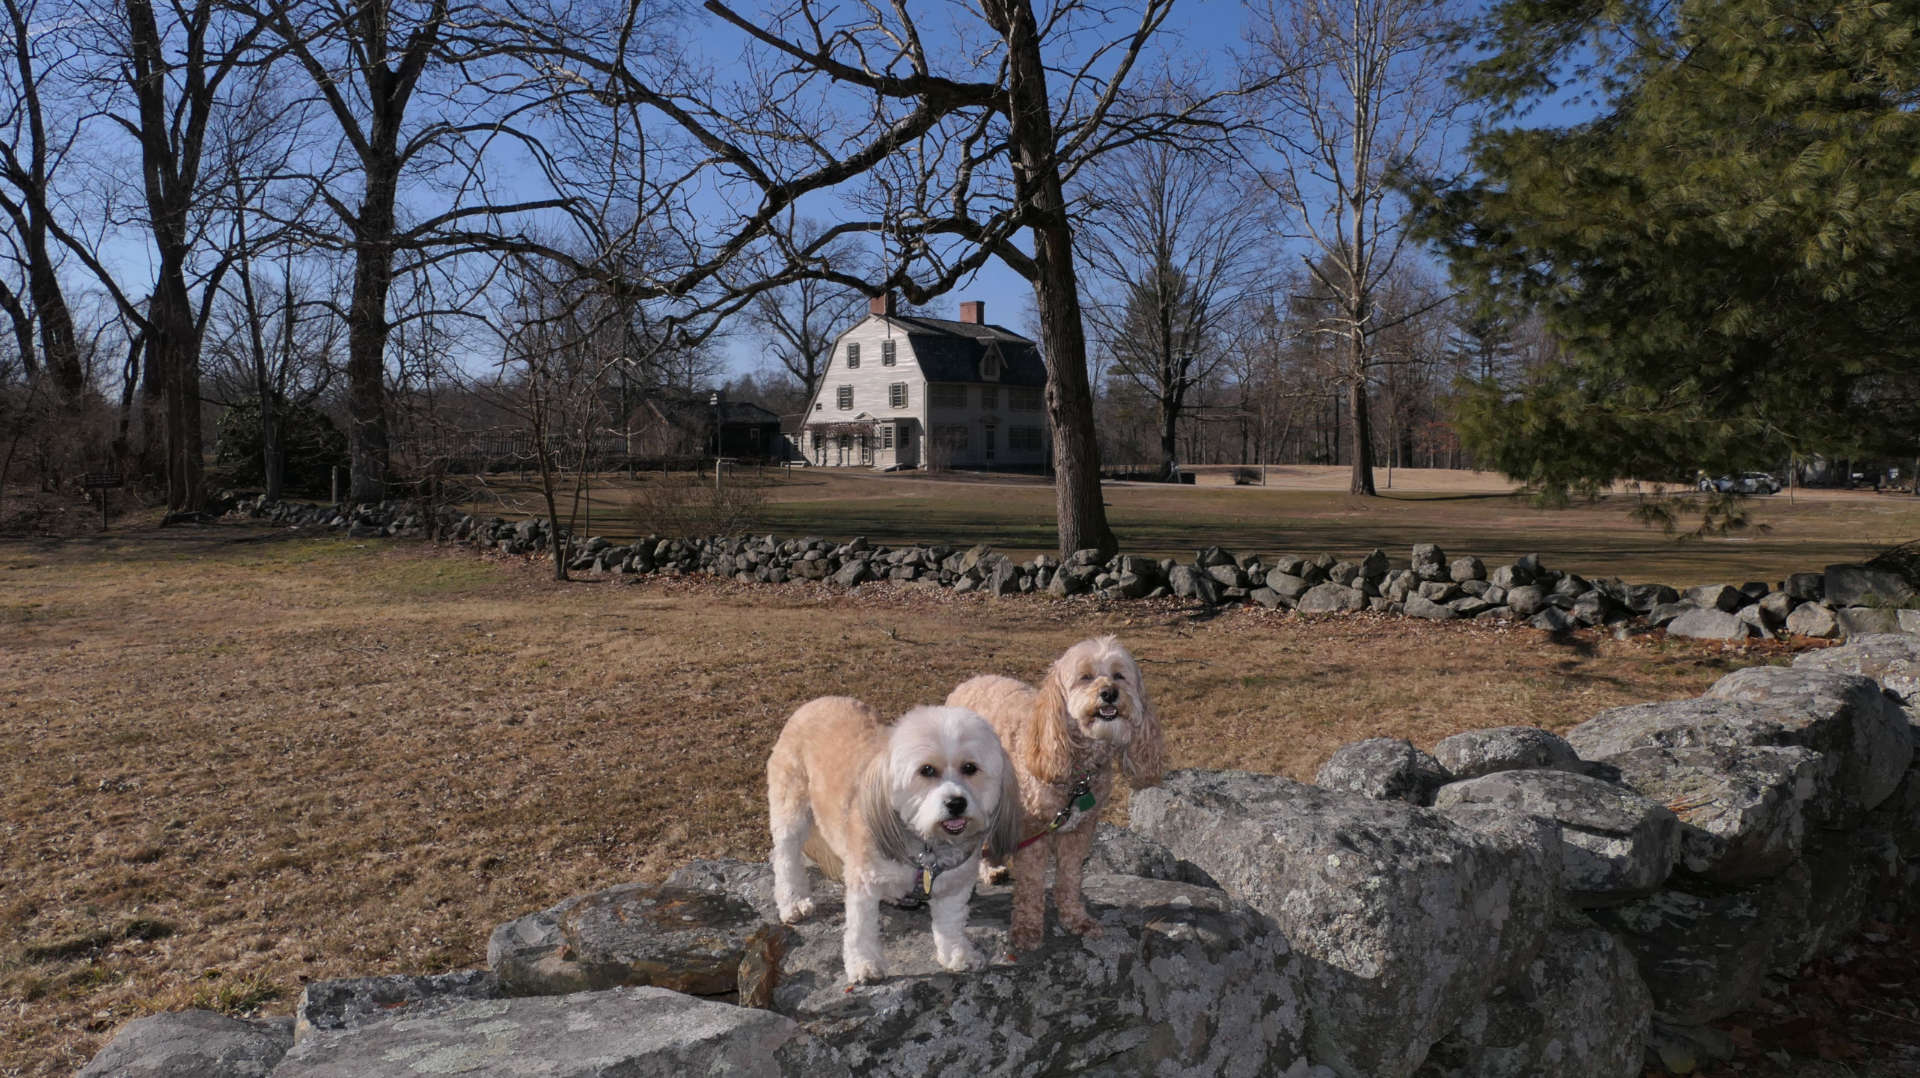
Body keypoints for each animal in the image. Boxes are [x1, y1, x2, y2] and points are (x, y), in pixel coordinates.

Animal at [764, 699, 1021, 983]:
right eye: (927, 770)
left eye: (970, 768)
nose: (956, 803)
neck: (926, 847)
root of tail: (814, 702)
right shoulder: (864, 880)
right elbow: (861, 928)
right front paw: (864, 964)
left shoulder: (955, 883)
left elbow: (951, 921)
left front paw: (957, 953)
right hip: (791, 806)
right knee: (786, 858)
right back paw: (794, 900)